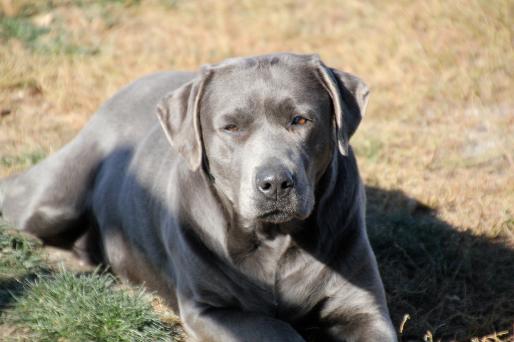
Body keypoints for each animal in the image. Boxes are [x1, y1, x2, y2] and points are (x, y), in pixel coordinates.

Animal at [0, 52, 396, 340]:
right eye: (231, 127)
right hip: (55, 197)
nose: (275, 182)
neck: (274, 239)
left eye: (300, 120)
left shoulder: (361, 305)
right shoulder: (210, 309)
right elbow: (277, 329)